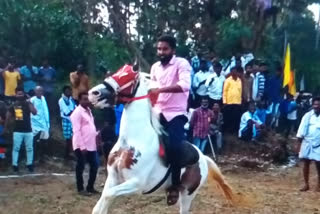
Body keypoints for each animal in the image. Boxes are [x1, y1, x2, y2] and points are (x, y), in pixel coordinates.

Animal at [89, 64, 234, 213]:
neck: (132, 140)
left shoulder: (137, 183)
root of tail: (203, 157)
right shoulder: (112, 178)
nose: (94, 93)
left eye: (126, 77)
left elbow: (108, 195)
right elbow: (101, 203)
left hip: (188, 194)